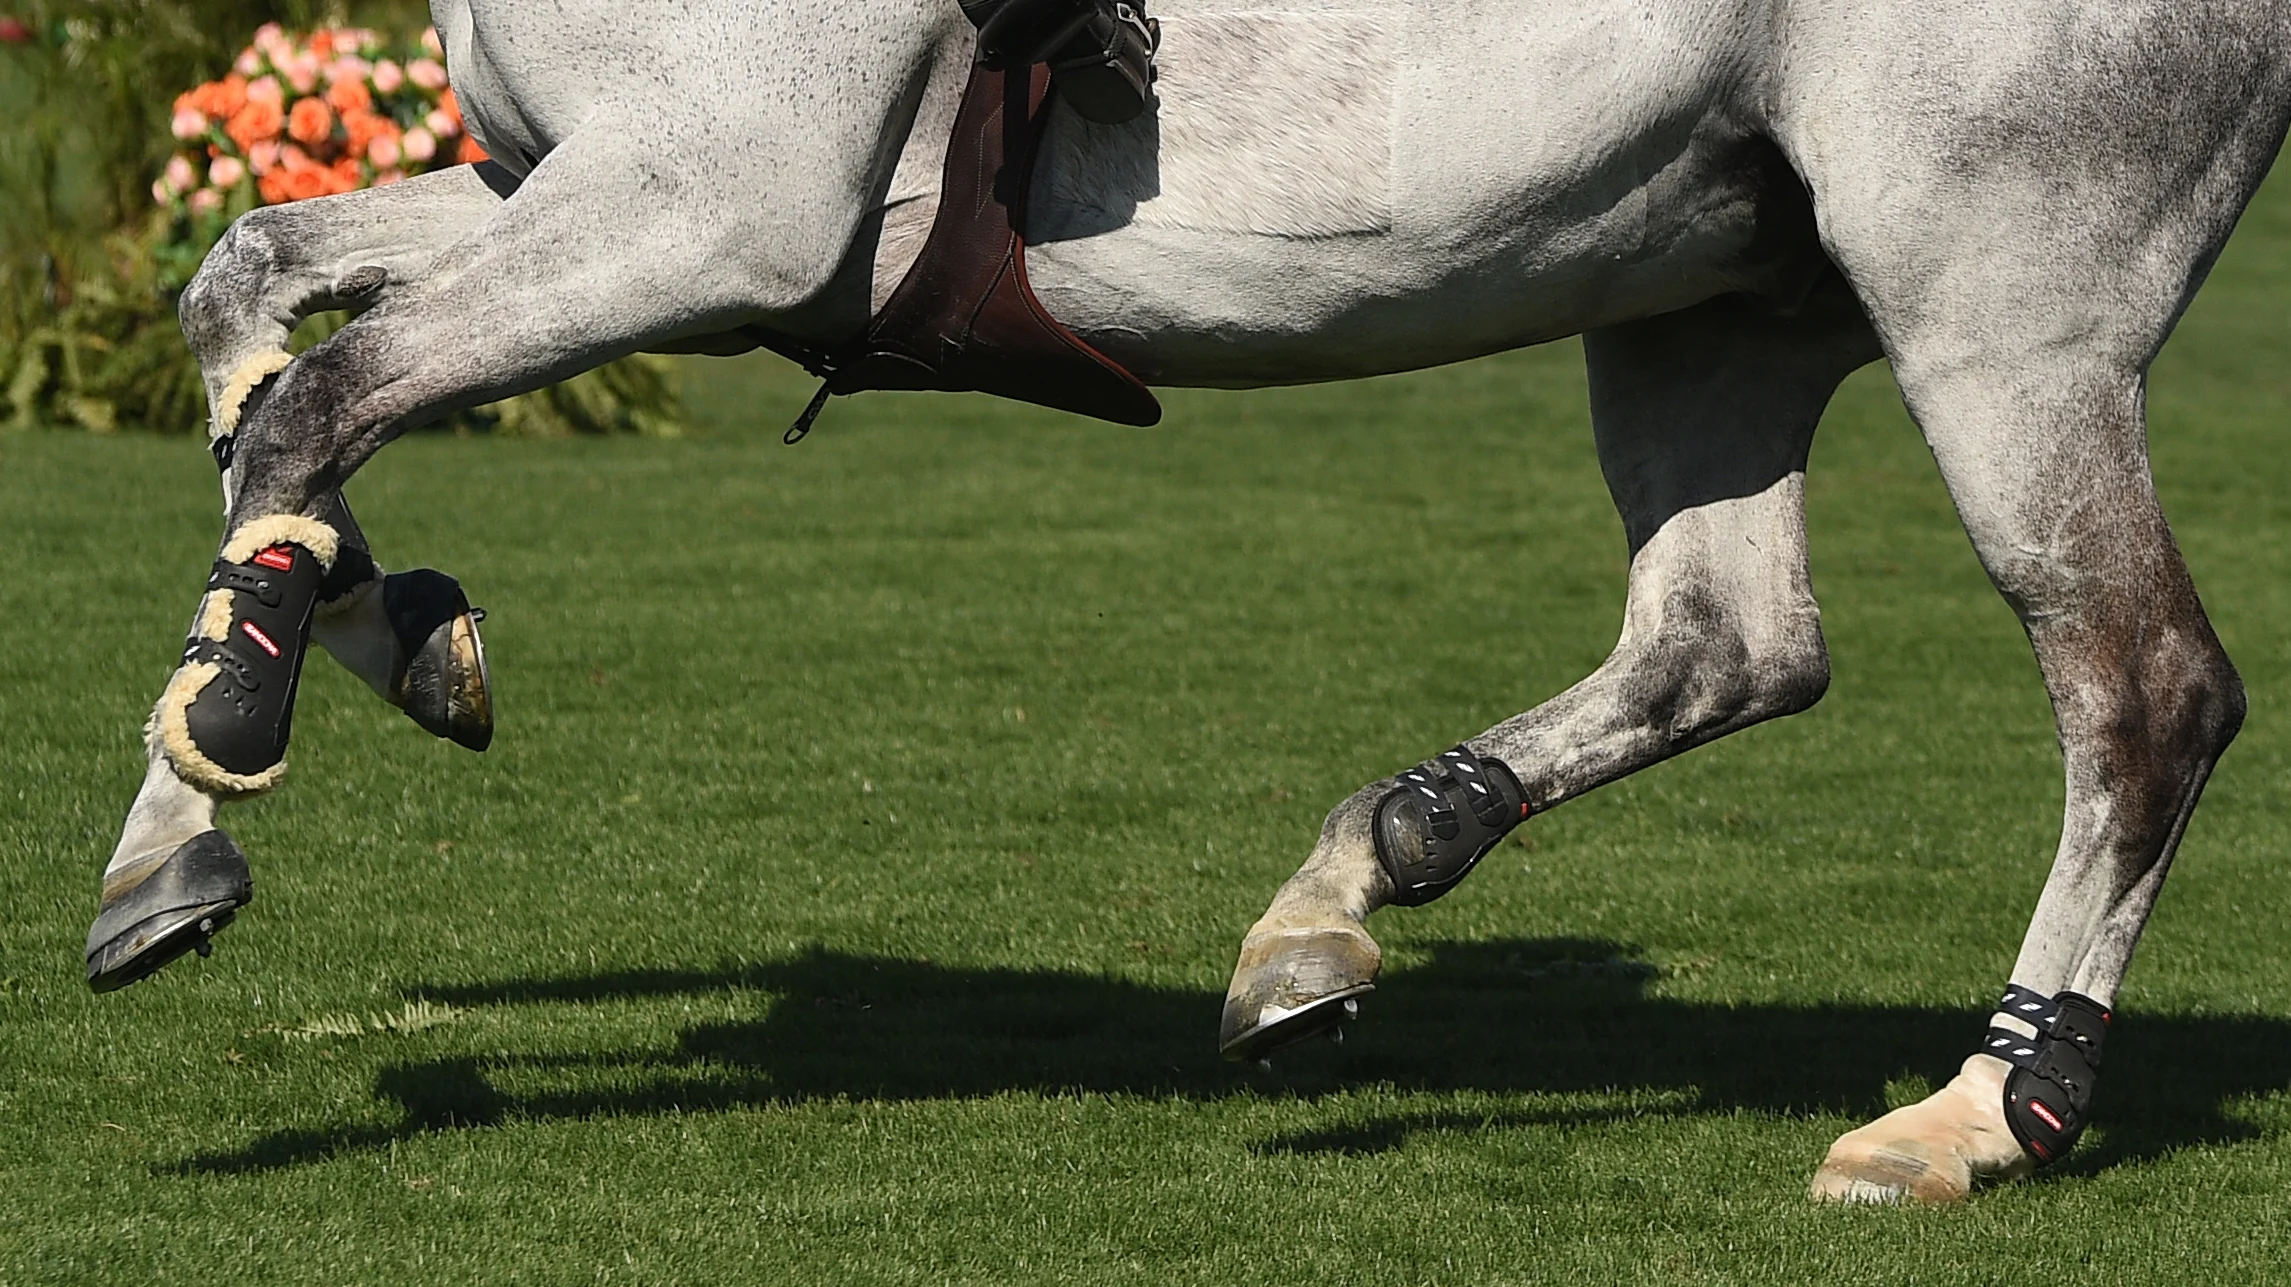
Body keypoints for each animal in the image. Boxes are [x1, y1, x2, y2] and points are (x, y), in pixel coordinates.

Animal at [87, 0, 2291, 1205]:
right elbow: (250, 307)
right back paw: (1348, 884)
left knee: (2139, 685)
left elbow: (314, 404)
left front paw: (223, 757)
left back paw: (1984, 1110)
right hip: (1706, 298)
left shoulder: (702, 211)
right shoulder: (596, 192)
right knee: (1726, 641)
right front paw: (340, 677)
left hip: (1992, 298)